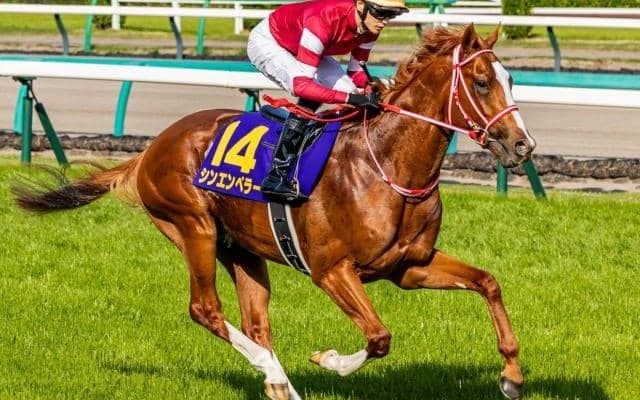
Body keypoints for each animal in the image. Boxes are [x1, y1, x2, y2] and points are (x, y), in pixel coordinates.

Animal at [12, 24, 535, 400]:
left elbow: (488, 282)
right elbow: (380, 337)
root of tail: (152, 148)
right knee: (205, 309)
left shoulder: (409, 266)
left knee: (255, 324)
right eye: (482, 82)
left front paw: (511, 374)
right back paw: (271, 372)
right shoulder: (331, 270)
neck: (387, 165)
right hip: (193, 227)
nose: (522, 145)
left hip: (241, 248)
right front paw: (328, 360)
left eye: (511, 80)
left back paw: (279, 382)